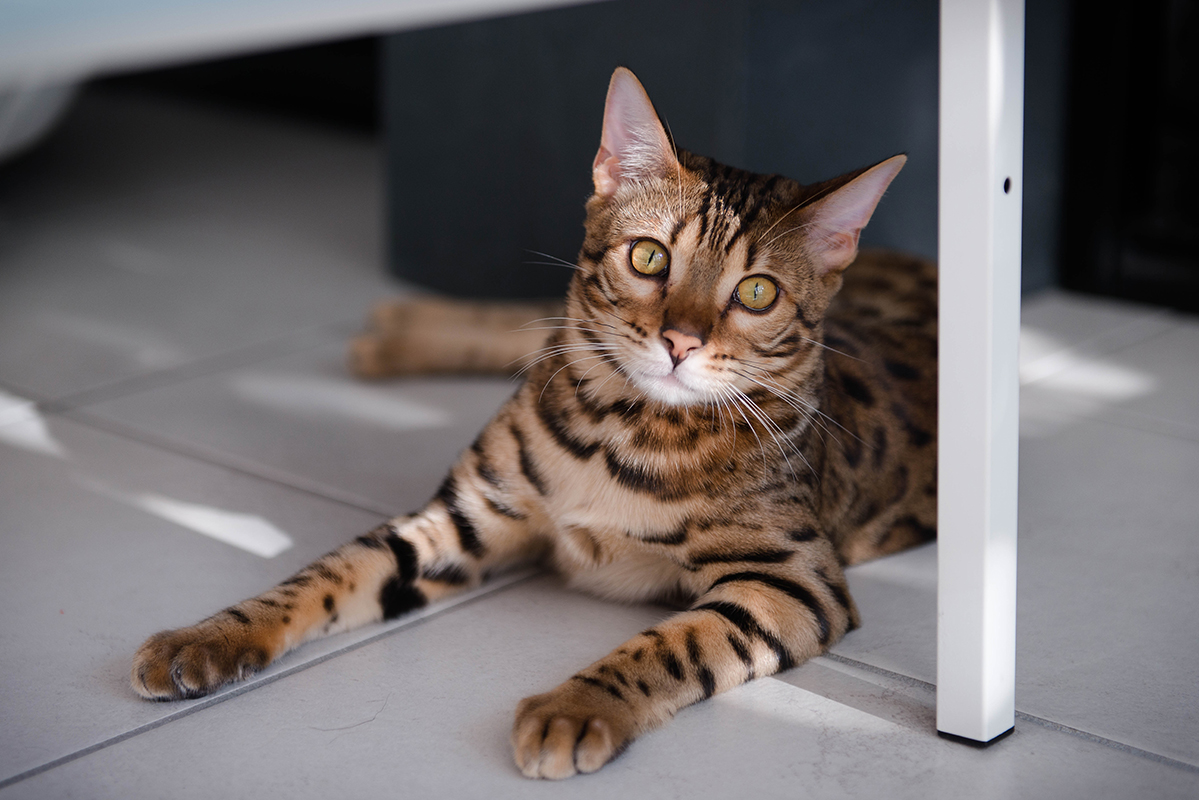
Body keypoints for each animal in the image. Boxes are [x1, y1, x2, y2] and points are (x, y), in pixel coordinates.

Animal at [131, 68, 935, 782]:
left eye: (757, 293)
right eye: (649, 256)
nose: (680, 342)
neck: (625, 429)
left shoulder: (789, 580)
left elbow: (672, 644)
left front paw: (577, 708)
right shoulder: (465, 514)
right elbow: (320, 575)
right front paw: (208, 634)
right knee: (521, 326)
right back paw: (397, 329)